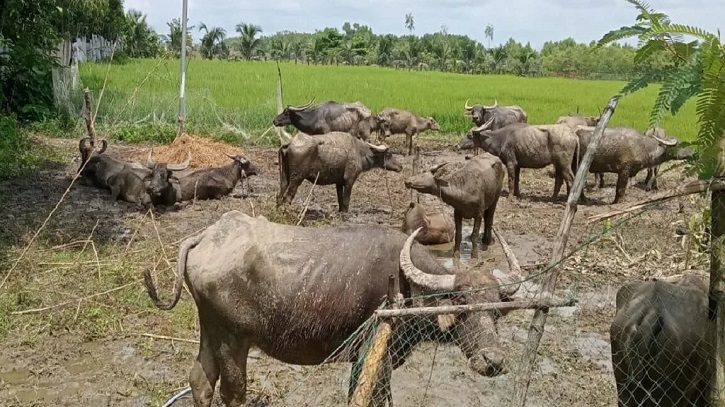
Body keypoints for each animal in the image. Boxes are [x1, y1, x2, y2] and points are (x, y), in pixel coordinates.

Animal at [144, 210, 524, 407]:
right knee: (232, 394)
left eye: (495, 310)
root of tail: (208, 235)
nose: (492, 361)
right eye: (461, 304)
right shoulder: (379, 355)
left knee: (200, 381)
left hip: (210, 329)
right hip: (232, 340)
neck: (408, 286)